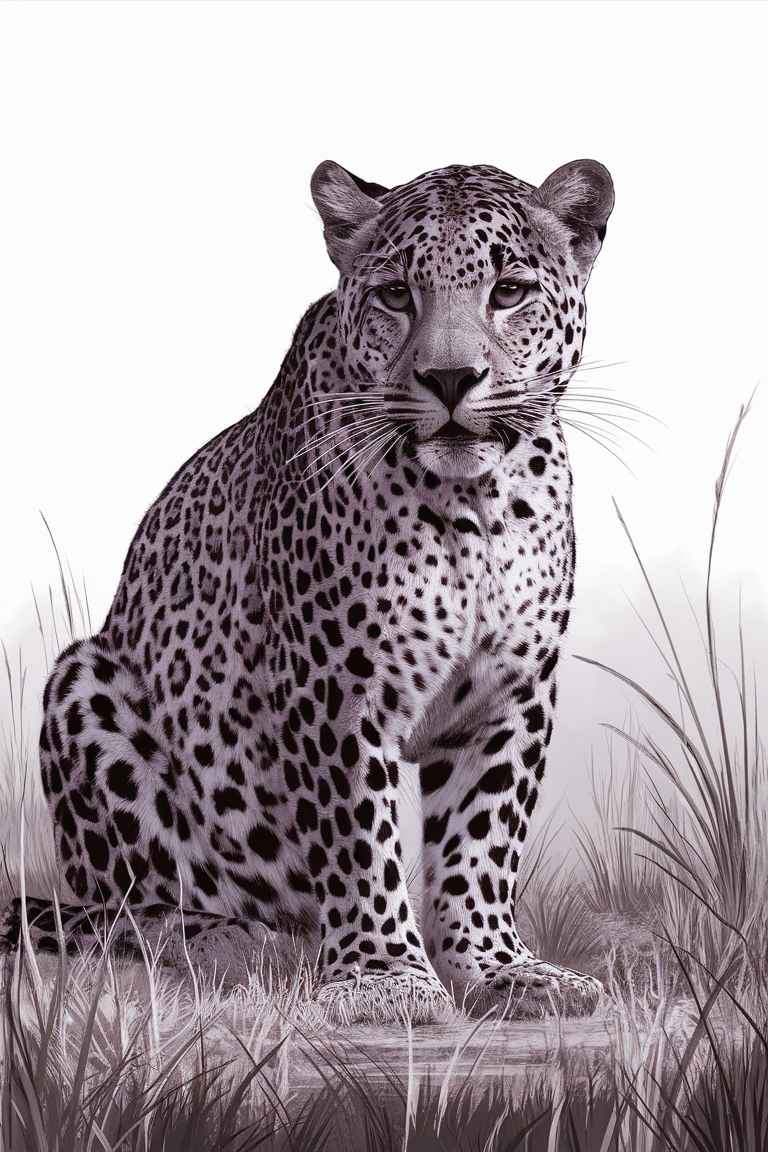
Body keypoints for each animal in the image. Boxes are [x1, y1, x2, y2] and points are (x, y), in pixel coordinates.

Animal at [3, 157, 614, 1024]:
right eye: (395, 294)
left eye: (510, 290)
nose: (450, 378)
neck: (471, 504)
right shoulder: (338, 684)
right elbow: (360, 835)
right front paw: (385, 977)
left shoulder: (514, 689)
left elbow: (483, 834)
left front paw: (499, 968)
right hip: (83, 683)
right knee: (119, 908)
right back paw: (229, 940)